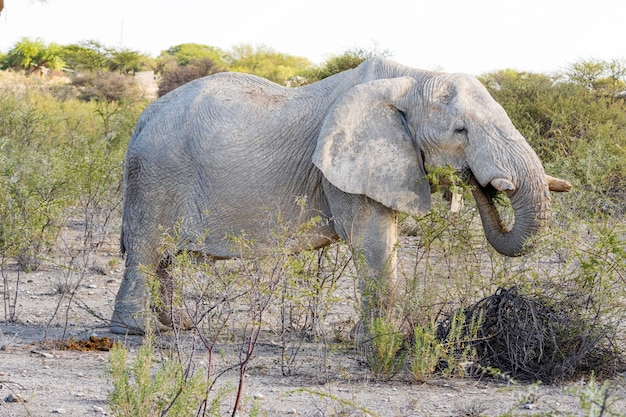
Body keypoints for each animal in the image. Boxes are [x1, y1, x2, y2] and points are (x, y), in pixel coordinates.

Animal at [109, 57, 568, 334]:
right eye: (461, 131)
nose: (478, 181)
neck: (411, 76)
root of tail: (143, 117)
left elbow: (386, 240)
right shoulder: (343, 168)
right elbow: (371, 240)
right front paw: (381, 341)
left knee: (164, 257)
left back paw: (175, 326)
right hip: (157, 173)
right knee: (148, 249)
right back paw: (136, 332)